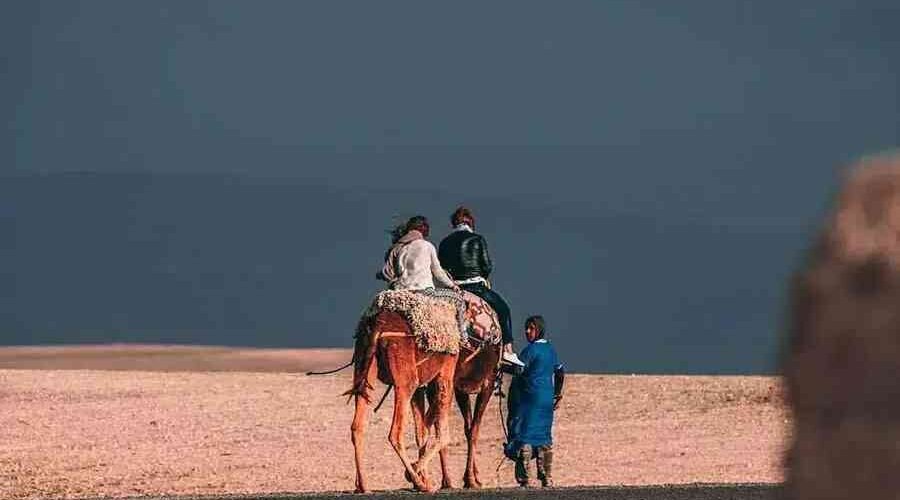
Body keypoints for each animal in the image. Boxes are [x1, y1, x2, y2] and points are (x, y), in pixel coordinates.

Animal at [346, 308, 458, 492]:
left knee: (358, 426)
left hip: (364, 365)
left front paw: (425, 477)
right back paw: (418, 482)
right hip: (406, 377)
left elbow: (422, 432)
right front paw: (417, 475)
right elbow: (443, 434)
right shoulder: (446, 371)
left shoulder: (421, 385)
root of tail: (378, 325)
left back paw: (363, 485)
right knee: (395, 433)